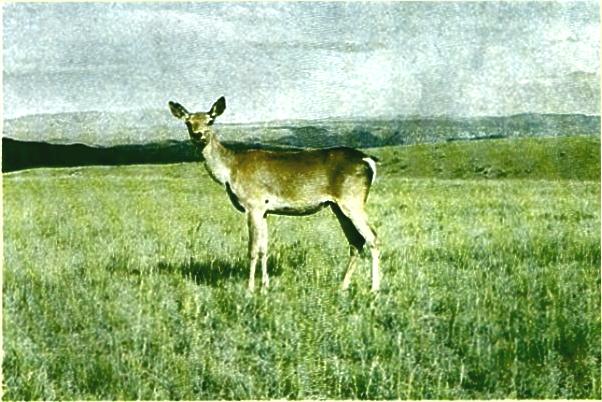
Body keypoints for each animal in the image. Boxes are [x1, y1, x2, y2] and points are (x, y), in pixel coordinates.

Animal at [168, 97, 380, 292]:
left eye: (210, 120)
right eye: (188, 122)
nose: (199, 135)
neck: (229, 172)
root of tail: (369, 161)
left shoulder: (253, 204)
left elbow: (252, 249)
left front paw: (250, 289)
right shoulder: (264, 209)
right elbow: (264, 248)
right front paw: (265, 286)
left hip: (352, 199)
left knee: (373, 238)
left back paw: (374, 289)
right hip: (338, 206)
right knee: (356, 241)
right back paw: (342, 286)